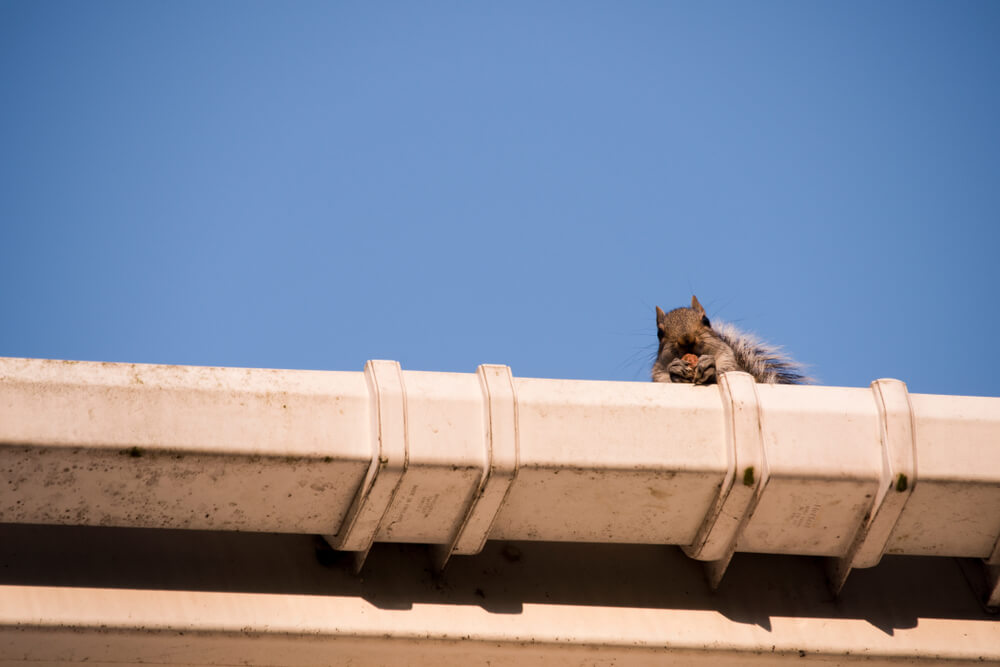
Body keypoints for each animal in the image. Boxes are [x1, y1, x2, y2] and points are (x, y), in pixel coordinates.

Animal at [652, 296, 810, 385]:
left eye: (706, 320)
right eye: (660, 333)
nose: (686, 339)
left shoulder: (730, 363)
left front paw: (710, 366)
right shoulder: (658, 375)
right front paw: (675, 369)